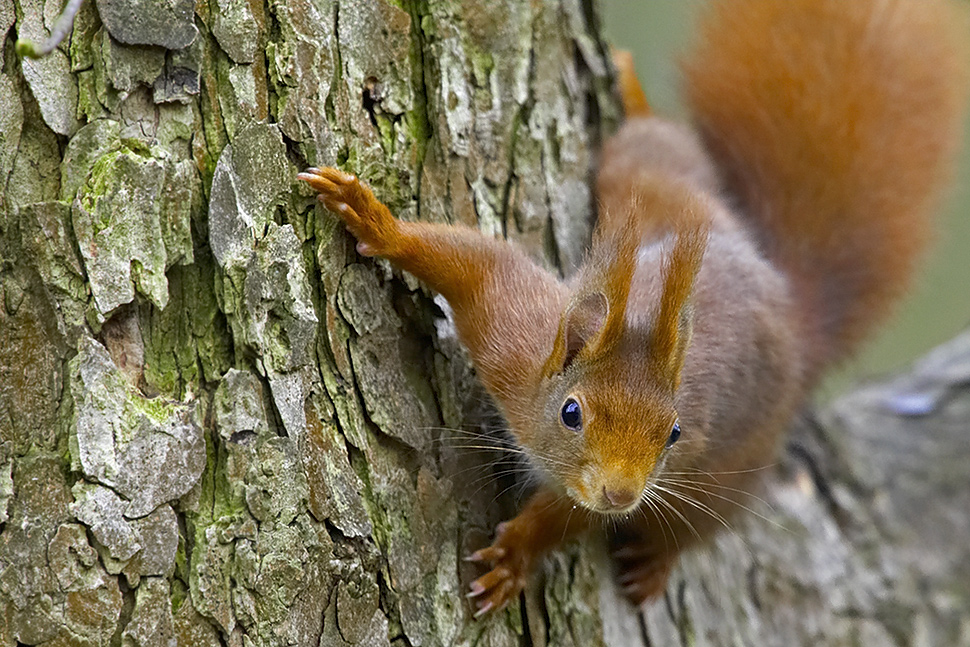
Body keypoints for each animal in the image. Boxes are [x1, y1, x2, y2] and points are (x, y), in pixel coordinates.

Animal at [298, 0, 964, 616]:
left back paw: (657, 559)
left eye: (672, 433)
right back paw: (632, 92)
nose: (621, 494)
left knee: (702, 522)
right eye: (571, 413)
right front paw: (376, 223)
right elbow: (473, 263)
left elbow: (572, 517)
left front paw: (518, 553)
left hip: (735, 465)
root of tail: (787, 300)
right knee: (659, 147)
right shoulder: (513, 335)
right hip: (655, 186)